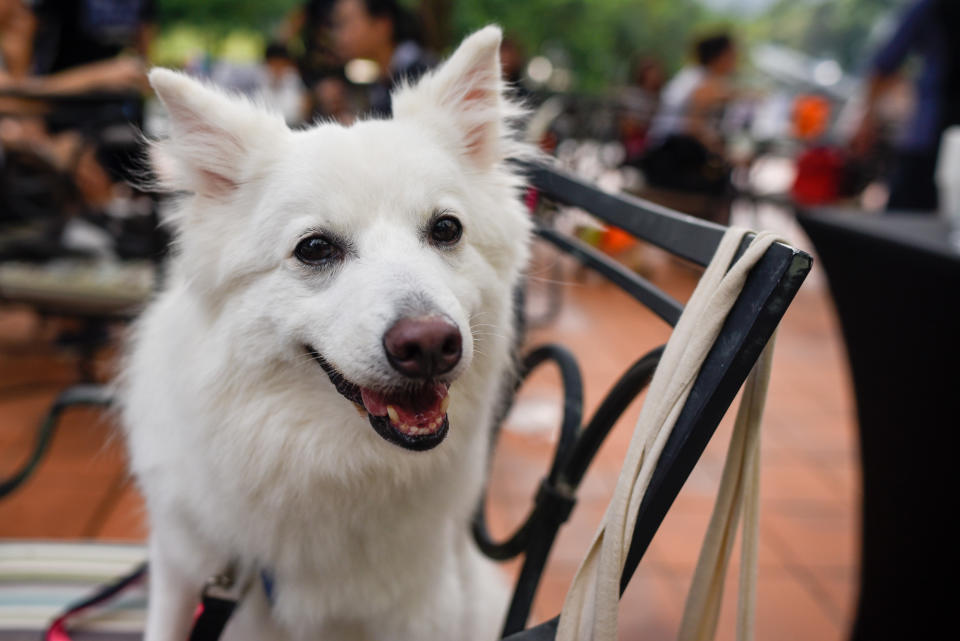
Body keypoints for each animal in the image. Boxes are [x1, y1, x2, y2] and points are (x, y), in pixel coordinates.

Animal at [120, 27, 532, 640]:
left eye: (446, 229)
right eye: (314, 248)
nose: (429, 345)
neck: (326, 459)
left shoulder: (420, 606)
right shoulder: (179, 566)